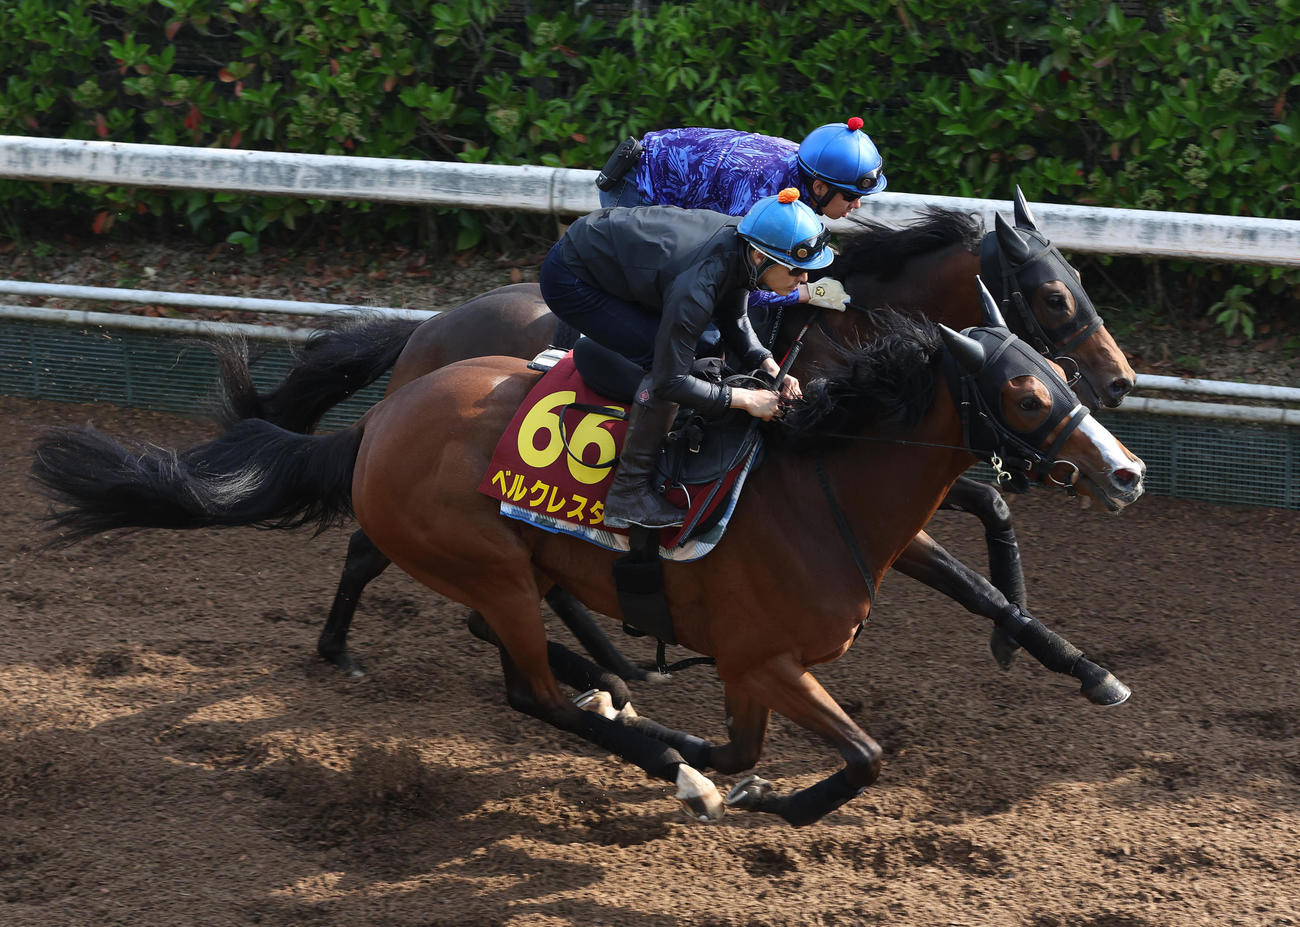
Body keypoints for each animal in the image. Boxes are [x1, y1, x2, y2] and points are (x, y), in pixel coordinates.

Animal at [32, 291, 1146, 826]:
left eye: (1055, 374)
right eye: (1029, 393)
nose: (1128, 470)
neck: (815, 487)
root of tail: (383, 416)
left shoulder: (764, 656)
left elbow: (972, 595)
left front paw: (1089, 669)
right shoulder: (768, 659)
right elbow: (860, 757)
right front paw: (749, 793)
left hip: (516, 568)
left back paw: (624, 700)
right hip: (489, 563)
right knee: (525, 688)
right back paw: (634, 728)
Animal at [215, 189, 1137, 679]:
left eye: (1081, 278)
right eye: (1053, 296)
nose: (1121, 379)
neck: (840, 329)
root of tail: (424, 332)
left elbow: (986, 521)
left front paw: (1030, 640)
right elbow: (974, 527)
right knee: (373, 547)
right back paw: (340, 647)